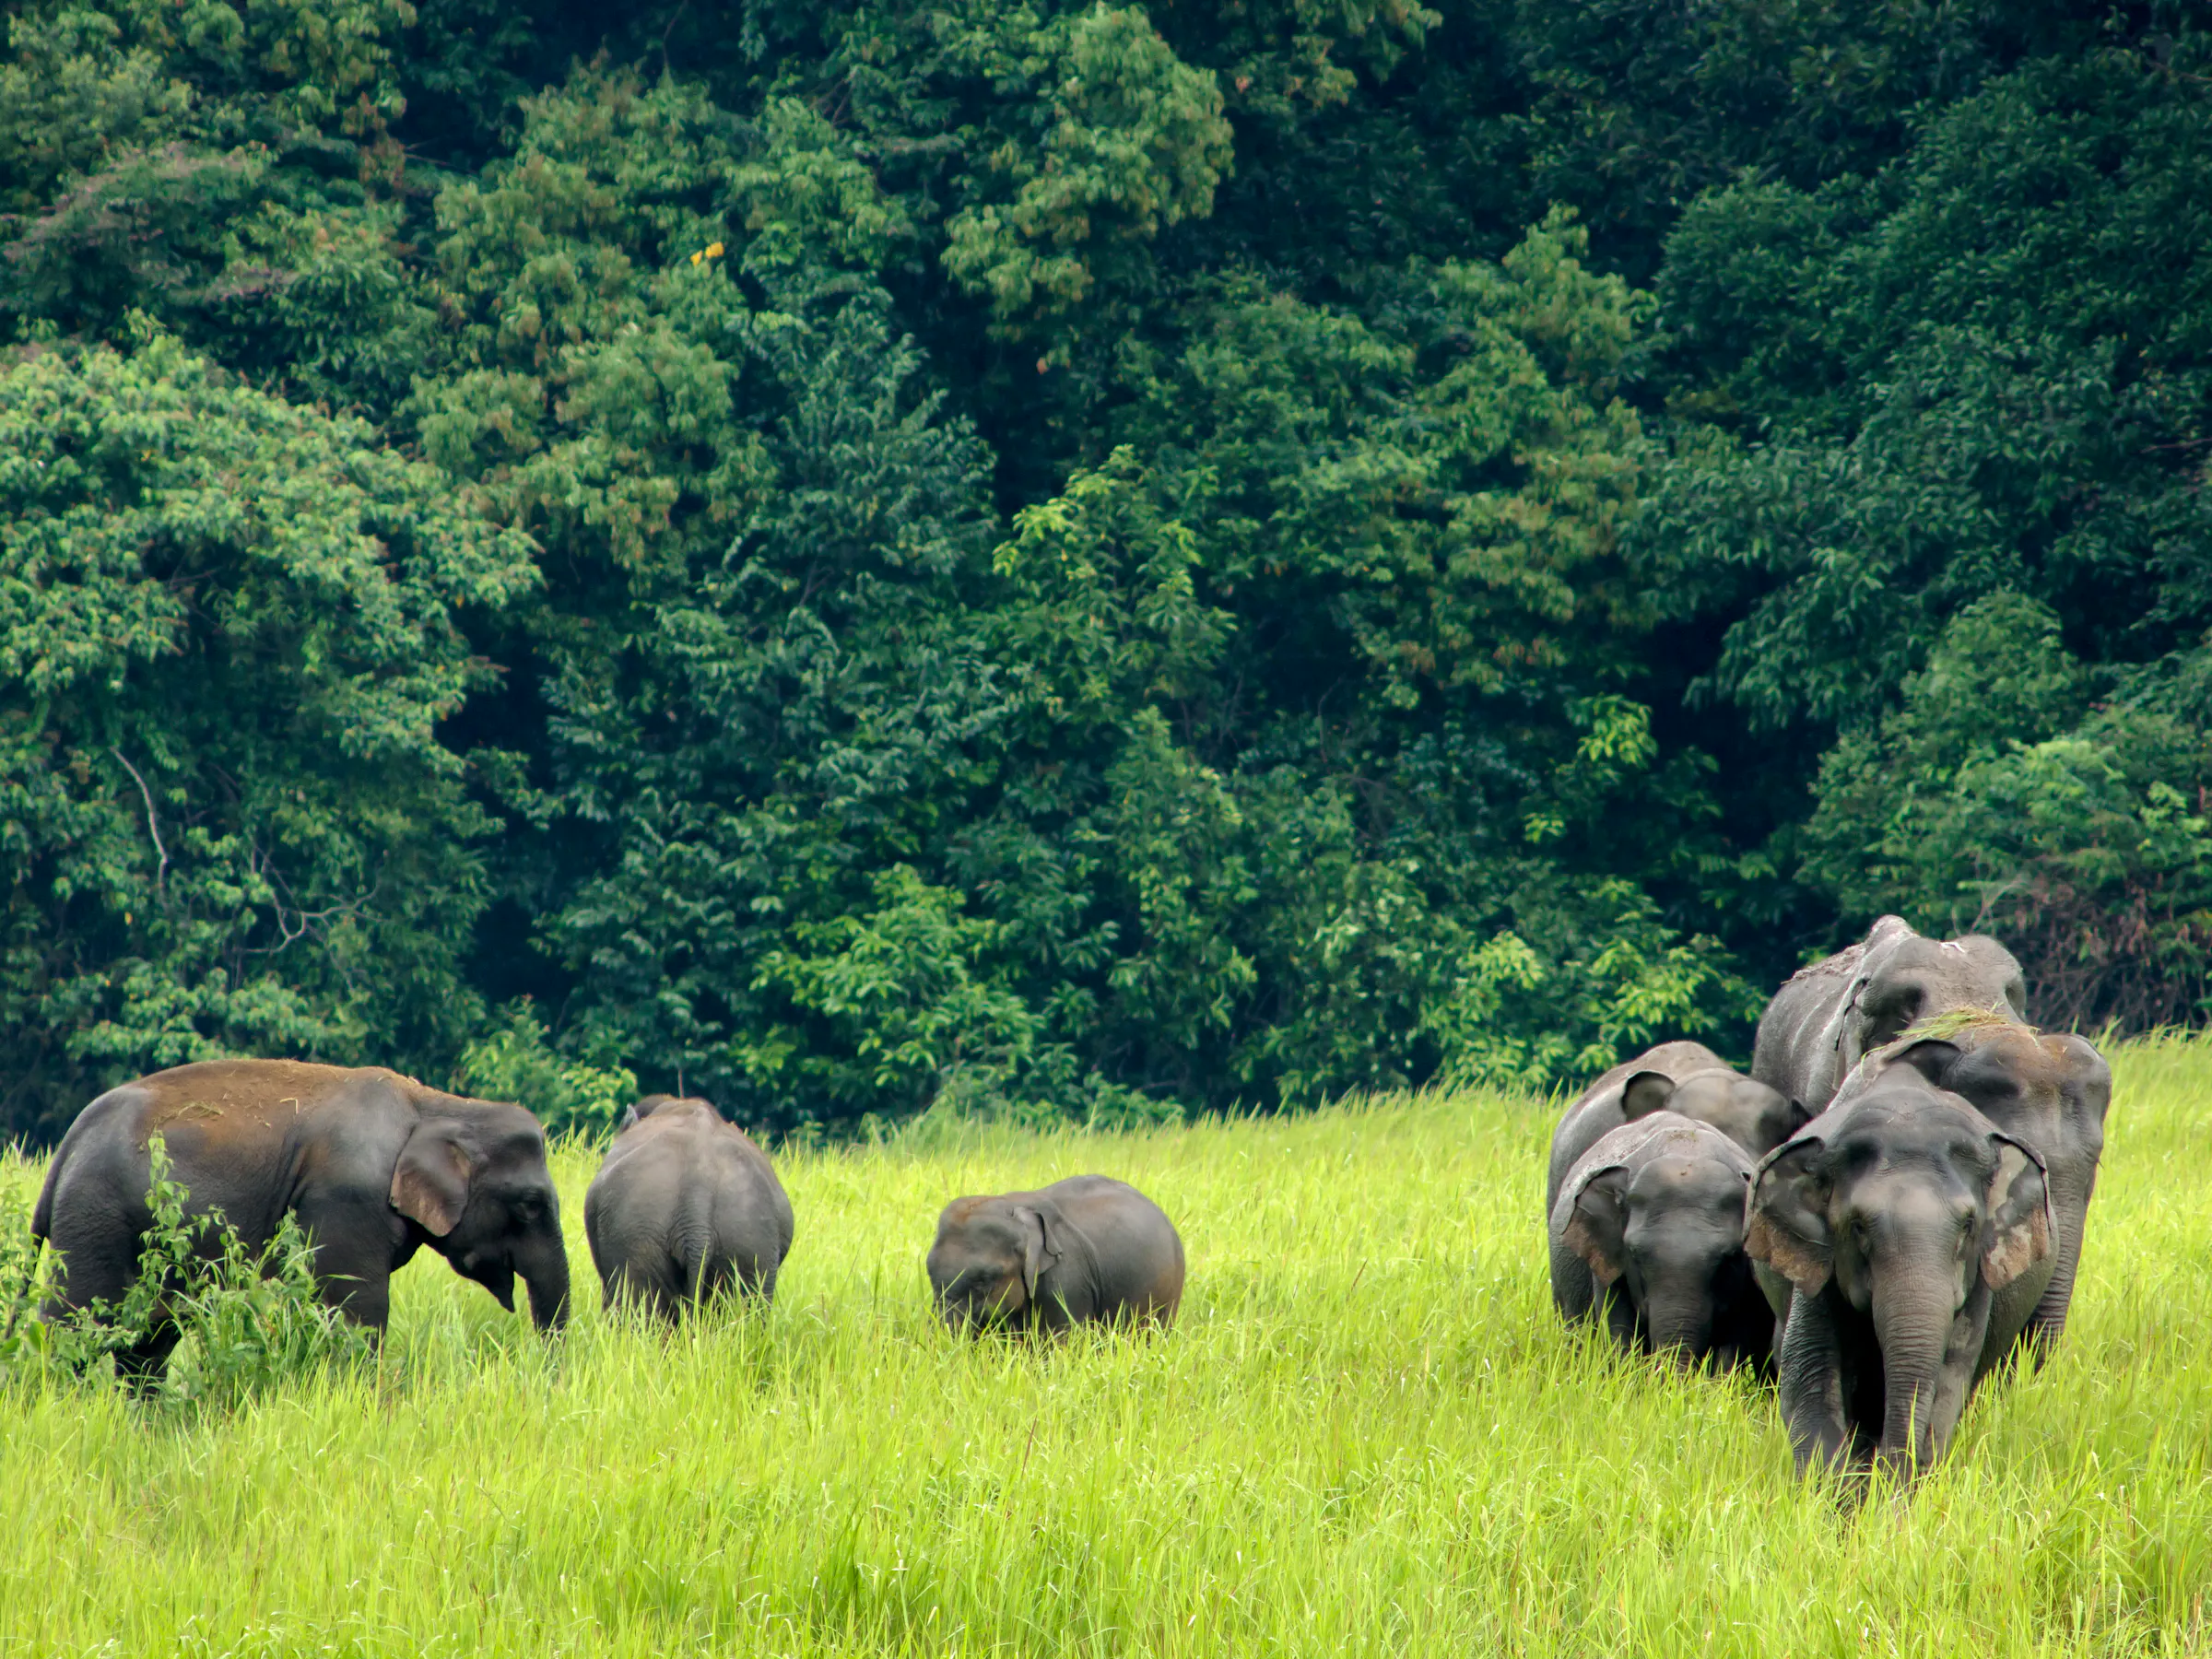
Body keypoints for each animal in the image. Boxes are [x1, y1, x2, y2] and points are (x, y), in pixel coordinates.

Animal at [32, 1059, 570, 1376]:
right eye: (530, 1203)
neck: (436, 1104)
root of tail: (70, 1139)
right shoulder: (348, 1200)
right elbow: (356, 1310)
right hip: (95, 1223)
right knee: (75, 1327)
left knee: (148, 1340)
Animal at [1745, 1063, 2055, 1480]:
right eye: (1858, 1226)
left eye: (1968, 1225)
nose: (1886, 1469)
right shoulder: (1819, 1264)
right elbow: (1809, 1375)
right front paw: (1844, 1490)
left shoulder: (1978, 1279)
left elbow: (1947, 1383)